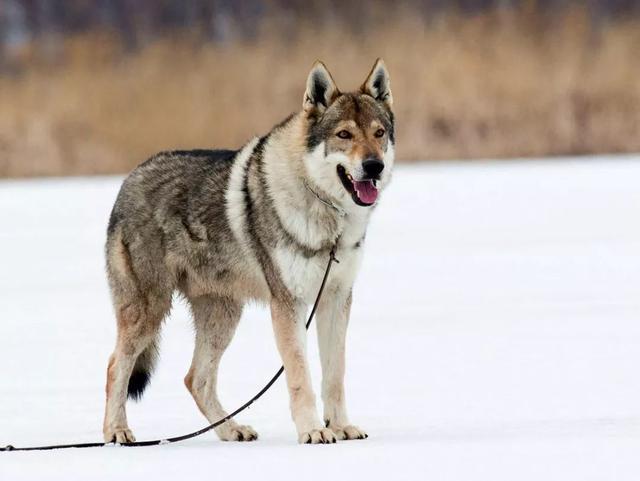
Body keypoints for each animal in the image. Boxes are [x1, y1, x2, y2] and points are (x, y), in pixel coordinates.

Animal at [104, 59, 396, 442]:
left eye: (379, 133)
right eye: (344, 135)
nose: (374, 166)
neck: (326, 215)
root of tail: (129, 180)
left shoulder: (336, 299)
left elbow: (335, 375)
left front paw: (341, 426)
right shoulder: (288, 304)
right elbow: (300, 376)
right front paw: (313, 431)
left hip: (224, 316)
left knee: (195, 379)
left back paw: (232, 431)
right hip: (149, 312)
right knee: (115, 367)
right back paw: (117, 432)